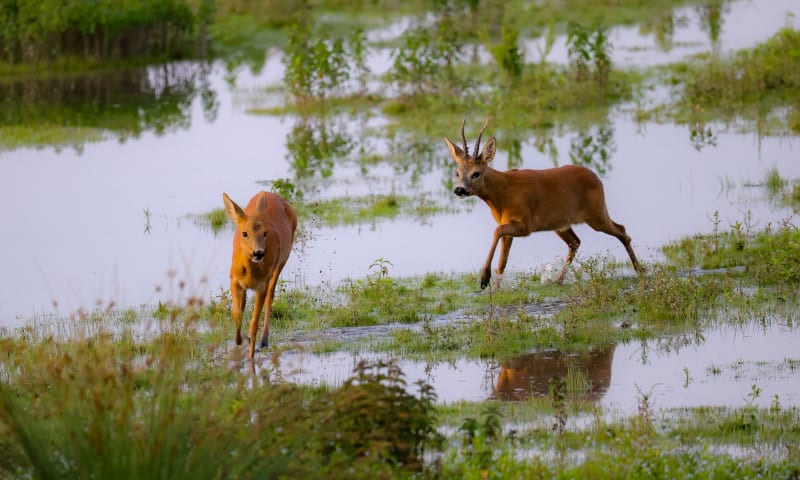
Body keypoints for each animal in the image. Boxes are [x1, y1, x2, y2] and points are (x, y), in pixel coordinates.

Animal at [222, 189, 296, 358]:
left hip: (283, 260)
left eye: (265, 233)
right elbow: (237, 314)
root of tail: (270, 193)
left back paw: (264, 340)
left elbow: (254, 323)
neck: (250, 273)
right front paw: (240, 340)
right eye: (244, 233)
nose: (258, 253)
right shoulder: (234, 279)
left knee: (271, 295)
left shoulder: (262, 284)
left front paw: (250, 356)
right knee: (244, 303)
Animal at [444, 117, 644, 286]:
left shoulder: (525, 224)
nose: (459, 190)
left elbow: (496, 232)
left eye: (476, 173)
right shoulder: (508, 223)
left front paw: (484, 277)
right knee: (575, 242)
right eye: (457, 172)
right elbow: (502, 261)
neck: (502, 194)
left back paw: (640, 270)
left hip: (596, 213)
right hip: (562, 224)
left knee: (622, 231)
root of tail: (596, 177)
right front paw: (494, 288)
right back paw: (558, 280)